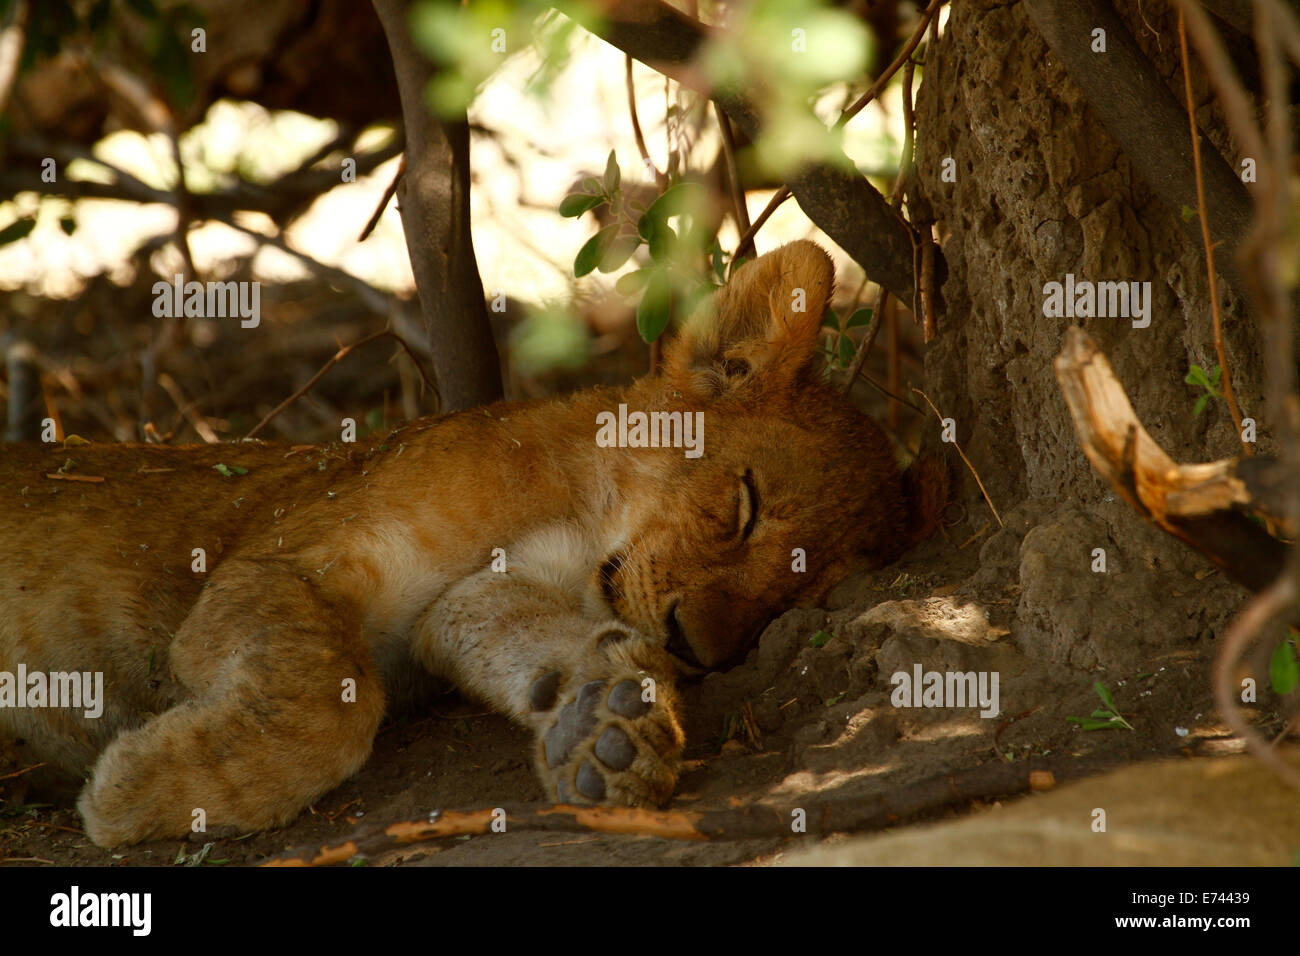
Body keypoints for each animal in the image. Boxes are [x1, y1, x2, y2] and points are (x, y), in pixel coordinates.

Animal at [0, 240, 945, 847]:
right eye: (743, 508)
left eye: (792, 599)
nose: (695, 646)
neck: (576, 514)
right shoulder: (277, 560)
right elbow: (332, 694)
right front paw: (132, 792)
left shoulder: (466, 598)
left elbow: (522, 636)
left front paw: (609, 730)